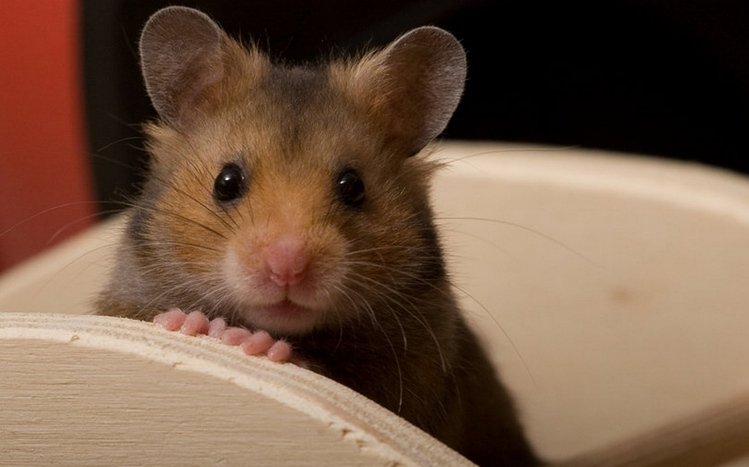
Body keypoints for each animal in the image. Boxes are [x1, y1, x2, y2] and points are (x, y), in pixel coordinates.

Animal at [97, 6, 539, 465]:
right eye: (226, 181)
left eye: (353, 186)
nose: (287, 267)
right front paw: (192, 324)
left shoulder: (418, 382)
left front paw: (249, 341)